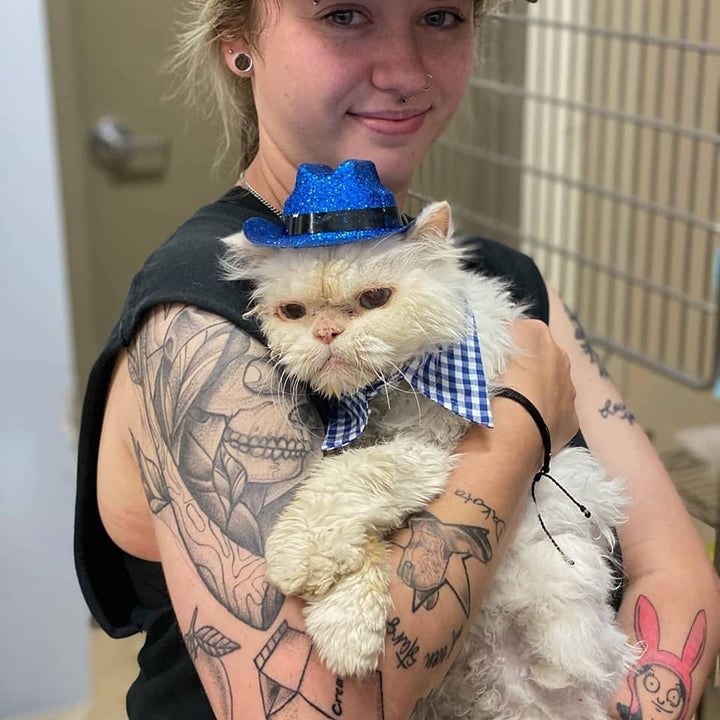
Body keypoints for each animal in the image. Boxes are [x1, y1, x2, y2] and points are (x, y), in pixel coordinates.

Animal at [222, 202, 640, 720]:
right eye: (293, 312)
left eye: (375, 298)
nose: (326, 333)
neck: (384, 392)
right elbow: (366, 539)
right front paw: (347, 626)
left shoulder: (429, 451)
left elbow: (344, 480)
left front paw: (300, 565)